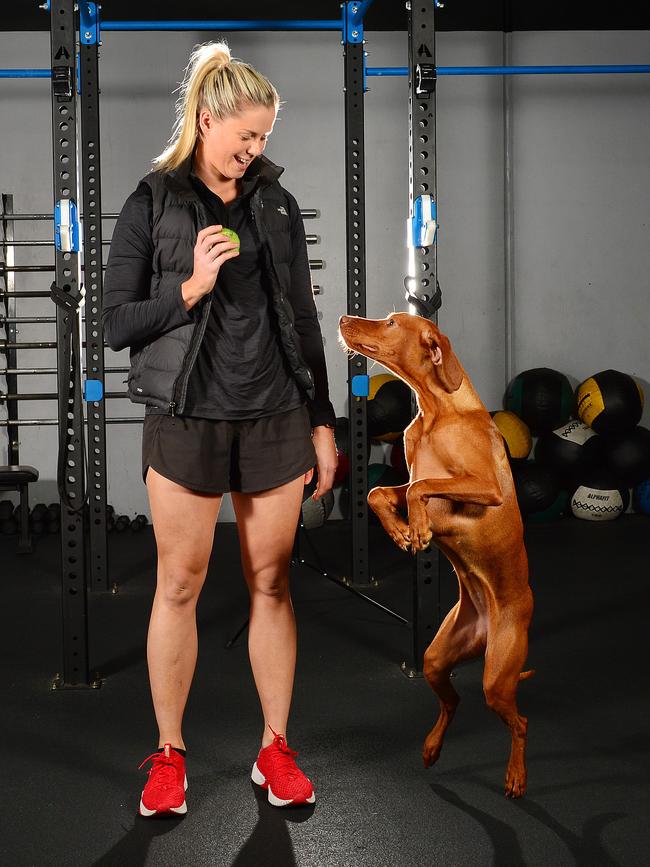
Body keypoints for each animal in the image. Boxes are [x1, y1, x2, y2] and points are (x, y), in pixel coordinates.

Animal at [336, 314, 536, 800]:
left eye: (391, 322)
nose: (344, 318)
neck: (435, 413)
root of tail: (485, 632)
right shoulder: (406, 478)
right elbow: (378, 491)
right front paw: (401, 532)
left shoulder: (486, 488)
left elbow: (421, 489)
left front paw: (419, 528)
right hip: (435, 659)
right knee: (454, 702)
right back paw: (431, 747)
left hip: (497, 676)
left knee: (519, 721)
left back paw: (516, 775)